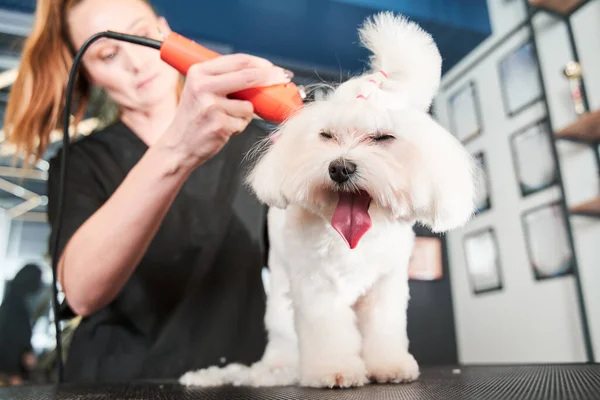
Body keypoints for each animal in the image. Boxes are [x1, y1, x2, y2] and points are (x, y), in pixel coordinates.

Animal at [180, 10, 476, 390]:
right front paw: (333, 370)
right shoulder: (315, 285)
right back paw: (280, 371)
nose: (340, 168)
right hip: (280, 303)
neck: (352, 241)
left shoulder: (385, 287)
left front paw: (389, 365)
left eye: (382, 137)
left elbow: (384, 328)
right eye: (327, 135)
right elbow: (328, 331)